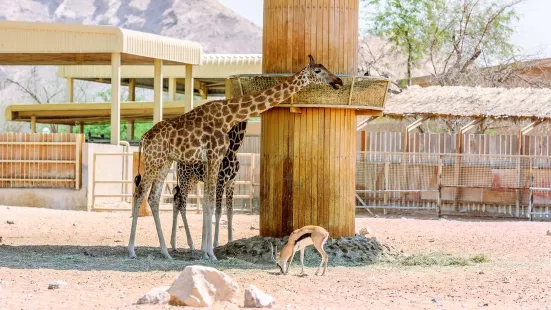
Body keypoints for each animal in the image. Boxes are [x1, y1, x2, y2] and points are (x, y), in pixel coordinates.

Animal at [168, 119, 246, 252]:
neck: (234, 149)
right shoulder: (221, 181)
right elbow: (218, 212)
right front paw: (215, 243)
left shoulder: (231, 182)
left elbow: (230, 212)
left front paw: (230, 241)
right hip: (185, 178)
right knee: (182, 204)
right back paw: (191, 244)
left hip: (192, 180)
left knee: (176, 201)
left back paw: (173, 244)